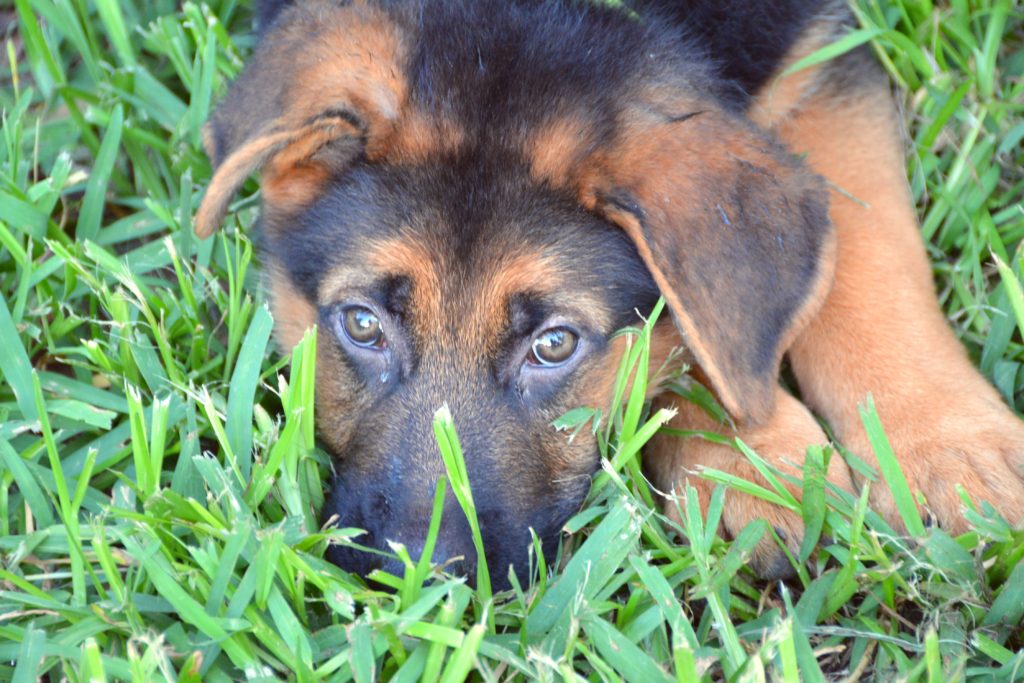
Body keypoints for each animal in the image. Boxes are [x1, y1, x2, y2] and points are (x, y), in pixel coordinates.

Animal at [197, 1, 1024, 589]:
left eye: (555, 344)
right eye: (363, 325)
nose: (420, 579)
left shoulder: (822, 56)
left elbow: (867, 239)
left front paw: (945, 442)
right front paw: (747, 454)